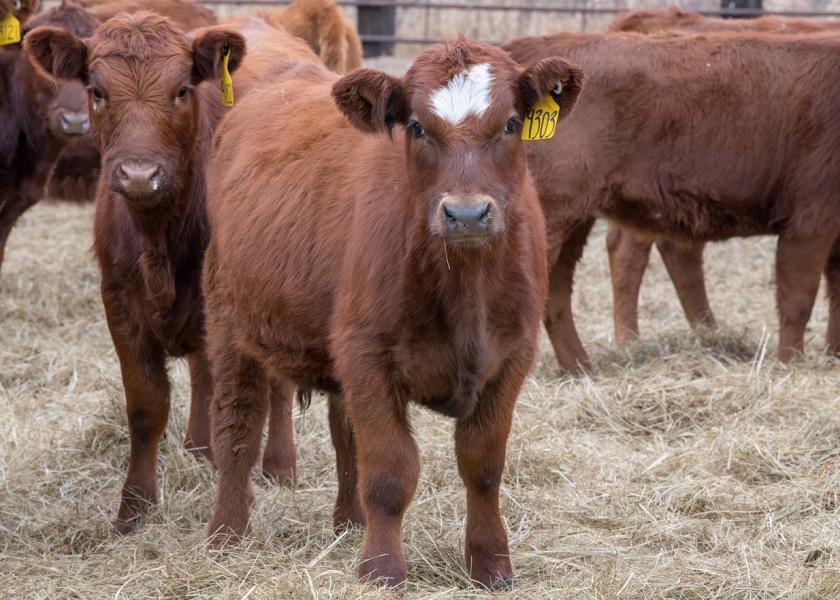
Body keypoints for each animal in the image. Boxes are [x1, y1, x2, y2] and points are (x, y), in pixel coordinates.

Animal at [27, 11, 318, 532]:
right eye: (96, 90)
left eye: (182, 89)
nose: (140, 175)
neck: (161, 233)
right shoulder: (120, 303)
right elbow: (147, 406)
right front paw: (134, 507)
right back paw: (198, 448)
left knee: (277, 385)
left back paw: (279, 465)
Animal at [204, 36, 584, 584]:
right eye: (418, 126)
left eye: (512, 123)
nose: (467, 214)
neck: (465, 285)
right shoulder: (368, 355)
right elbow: (389, 469)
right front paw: (381, 567)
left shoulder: (511, 358)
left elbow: (483, 466)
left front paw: (491, 563)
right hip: (229, 323)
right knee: (236, 428)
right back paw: (227, 534)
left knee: (344, 434)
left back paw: (349, 521)